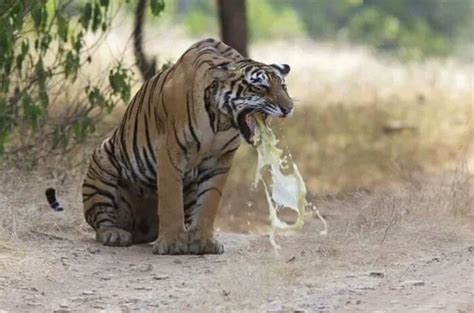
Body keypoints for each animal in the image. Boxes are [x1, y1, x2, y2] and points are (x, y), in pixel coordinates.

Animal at [46, 38, 294, 254]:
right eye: (259, 88)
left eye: (284, 87)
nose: (289, 108)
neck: (220, 121)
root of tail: (137, 228)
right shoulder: (170, 150)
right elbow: (170, 198)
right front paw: (173, 243)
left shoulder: (220, 160)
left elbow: (209, 201)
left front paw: (203, 241)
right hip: (103, 162)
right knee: (101, 220)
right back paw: (114, 234)